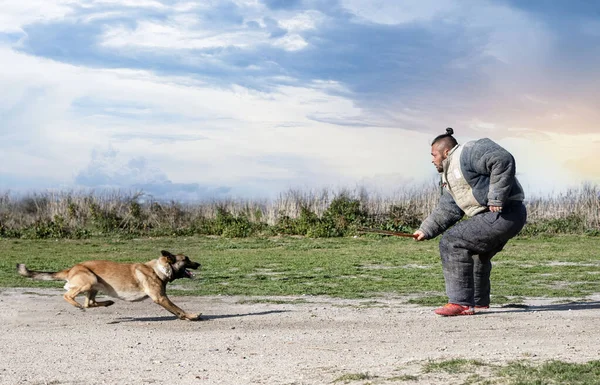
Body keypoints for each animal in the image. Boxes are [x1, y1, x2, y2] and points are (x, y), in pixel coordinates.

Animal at [16, 248, 203, 320]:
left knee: (90, 303)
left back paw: (107, 302)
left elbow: (176, 310)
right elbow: (179, 309)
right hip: (89, 281)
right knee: (68, 296)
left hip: (94, 286)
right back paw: (77, 305)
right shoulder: (161, 298)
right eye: (186, 259)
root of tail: (71, 268)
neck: (160, 269)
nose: (199, 264)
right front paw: (191, 316)